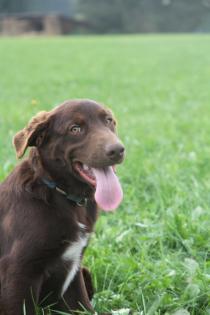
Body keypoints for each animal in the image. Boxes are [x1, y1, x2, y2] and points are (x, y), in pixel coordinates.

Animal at [0, 100, 124, 315]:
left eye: (109, 121)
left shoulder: (74, 273)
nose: (117, 150)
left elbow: (85, 307)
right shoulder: (16, 272)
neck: (61, 194)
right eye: (75, 129)